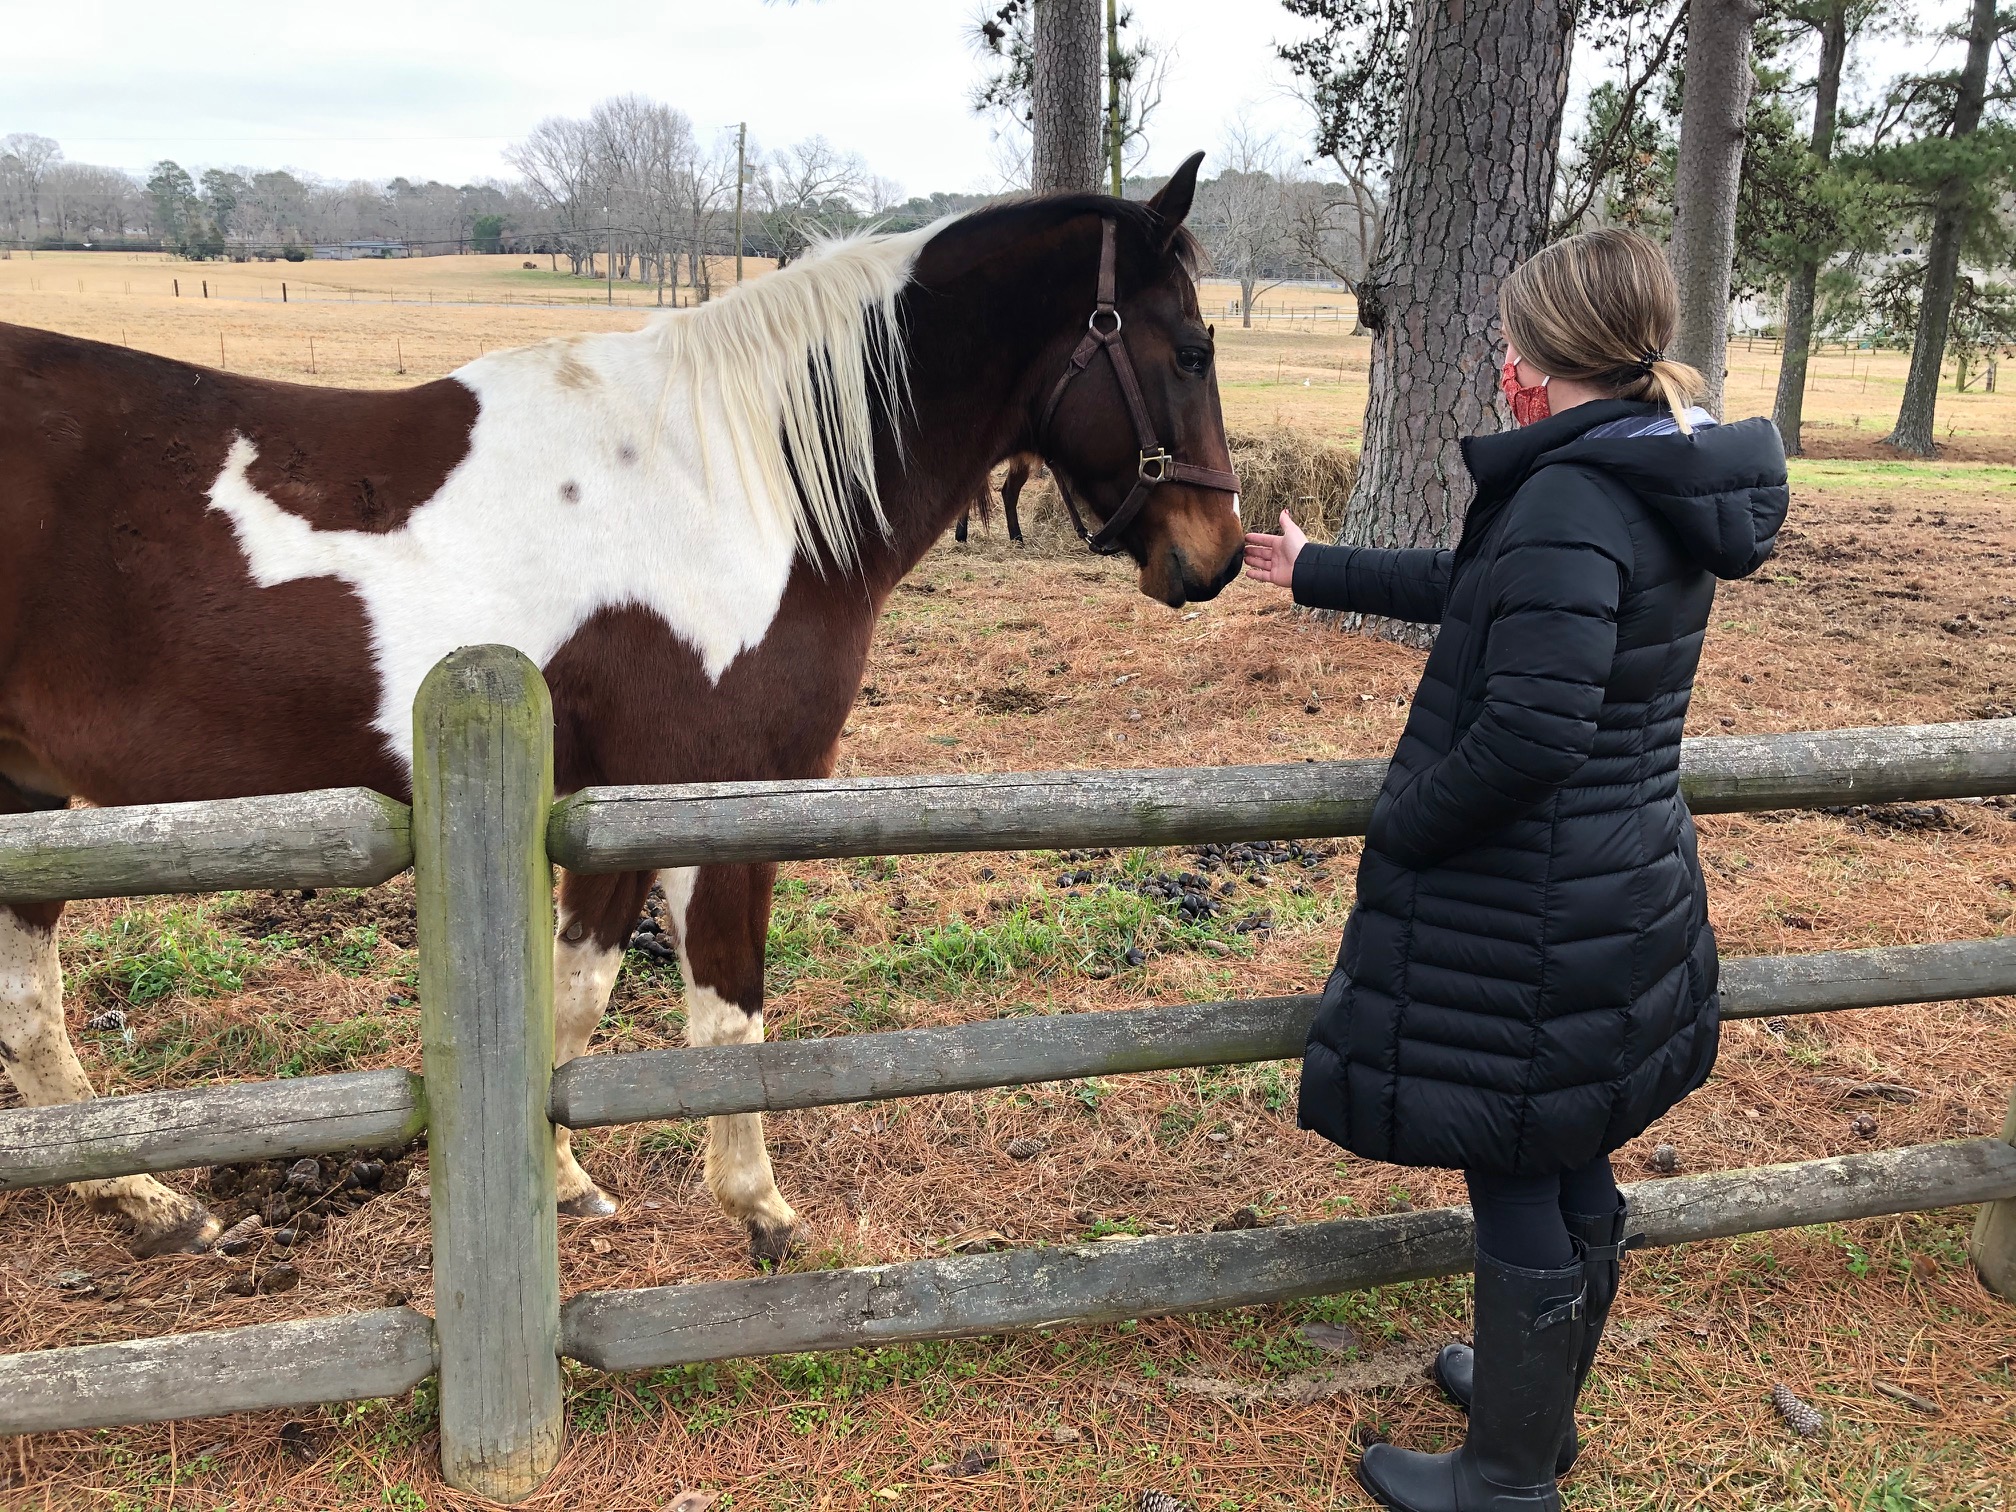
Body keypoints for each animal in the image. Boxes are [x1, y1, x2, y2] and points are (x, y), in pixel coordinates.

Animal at [0, 154, 1233, 1266]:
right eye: (1190, 348)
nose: (1215, 556)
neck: (730, 481)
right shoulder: (711, 797)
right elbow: (726, 1006)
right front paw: (758, 1208)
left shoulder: (605, 807)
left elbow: (573, 1000)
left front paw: (564, 1180)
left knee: (27, 1003)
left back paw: (148, 1204)